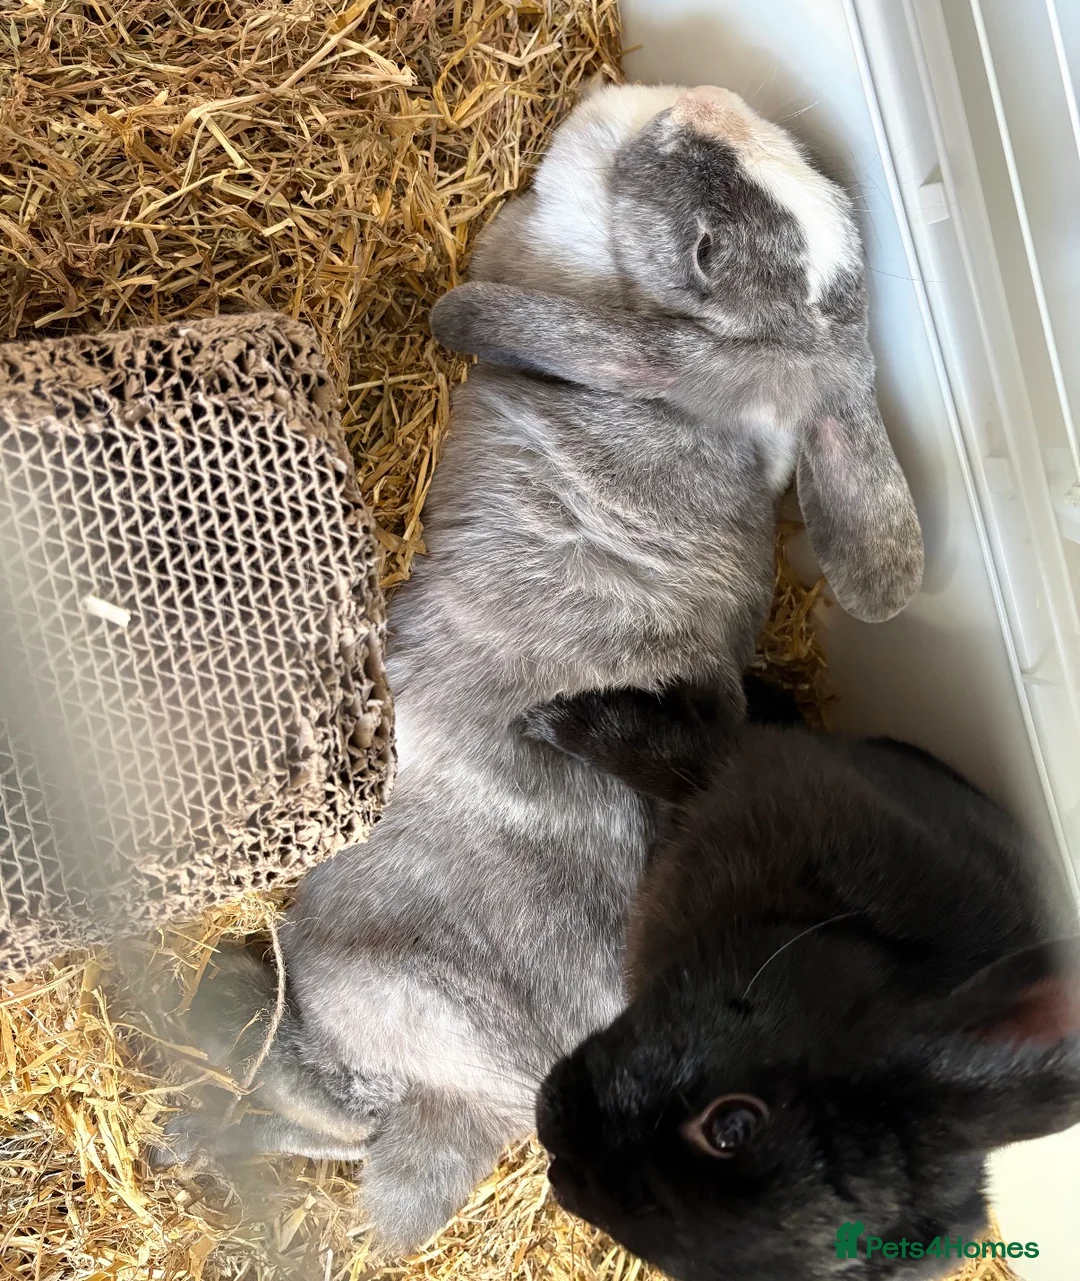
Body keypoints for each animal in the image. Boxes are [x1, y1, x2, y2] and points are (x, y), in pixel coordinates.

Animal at [155, 81, 923, 1252]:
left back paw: (200, 1088)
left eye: (705, 252)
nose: (704, 113)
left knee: (336, 1106)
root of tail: (482, 1103)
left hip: (354, 979)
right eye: (821, 190)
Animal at [524, 681, 1080, 1281]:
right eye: (733, 1127)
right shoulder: (746, 767)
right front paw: (549, 719)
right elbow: (653, 749)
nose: (561, 1171)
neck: (854, 932)